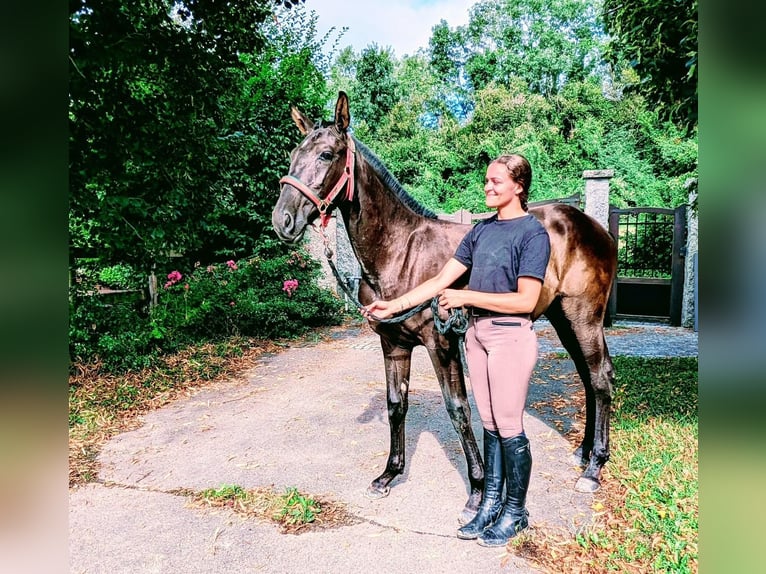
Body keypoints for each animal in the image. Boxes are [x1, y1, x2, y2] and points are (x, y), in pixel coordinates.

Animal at [272, 92, 616, 524]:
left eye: (327, 154)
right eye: (292, 154)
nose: (282, 220)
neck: (401, 252)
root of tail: (593, 226)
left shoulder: (442, 343)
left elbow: (458, 409)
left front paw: (478, 489)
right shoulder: (393, 344)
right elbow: (396, 405)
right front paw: (389, 475)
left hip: (584, 317)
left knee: (600, 379)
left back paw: (593, 469)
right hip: (562, 318)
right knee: (588, 378)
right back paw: (584, 453)